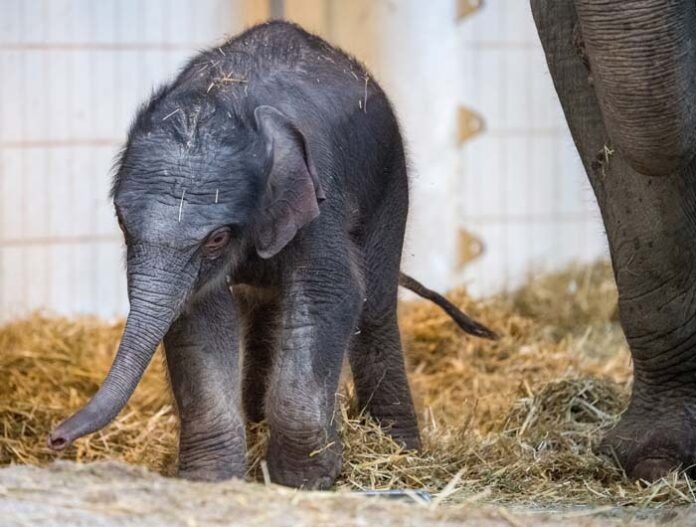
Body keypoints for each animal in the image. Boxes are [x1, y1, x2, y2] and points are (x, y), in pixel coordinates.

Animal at [47, 20, 494, 490]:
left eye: (217, 239)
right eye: (120, 219)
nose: (56, 439)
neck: (228, 99)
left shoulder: (318, 193)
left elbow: (328, 291)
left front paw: (303, 481)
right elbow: (200, 314)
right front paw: (210, 480)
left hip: (390, 179)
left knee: (374, 306)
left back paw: (401, 454)